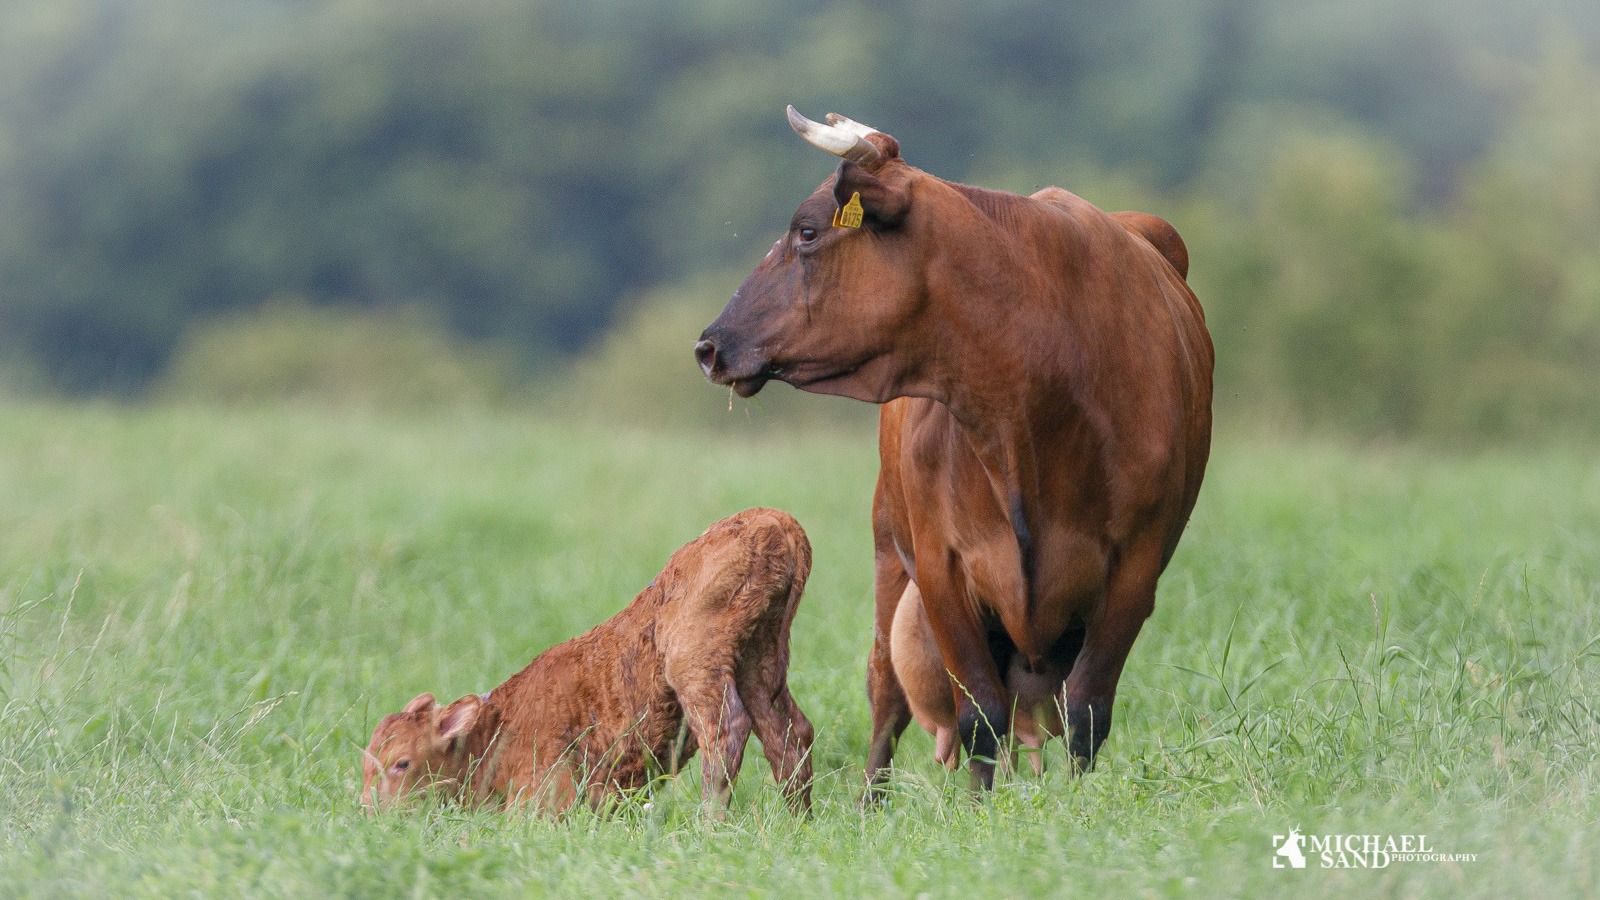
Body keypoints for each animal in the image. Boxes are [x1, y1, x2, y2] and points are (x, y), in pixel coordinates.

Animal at [363, 506, 812, 813]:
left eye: (401, 762)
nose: (369, 812)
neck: (495, 728)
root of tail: (771, 518)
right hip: (759, 659)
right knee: (789, 733)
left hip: (695, 661)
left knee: (726, 732)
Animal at [694, 108, 1203, 787]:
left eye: (806, 231)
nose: (710, 345)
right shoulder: (943, 566)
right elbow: (979, 714)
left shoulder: (1136, 566)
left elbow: (1088, 710)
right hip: (889, 549)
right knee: (887, 691)